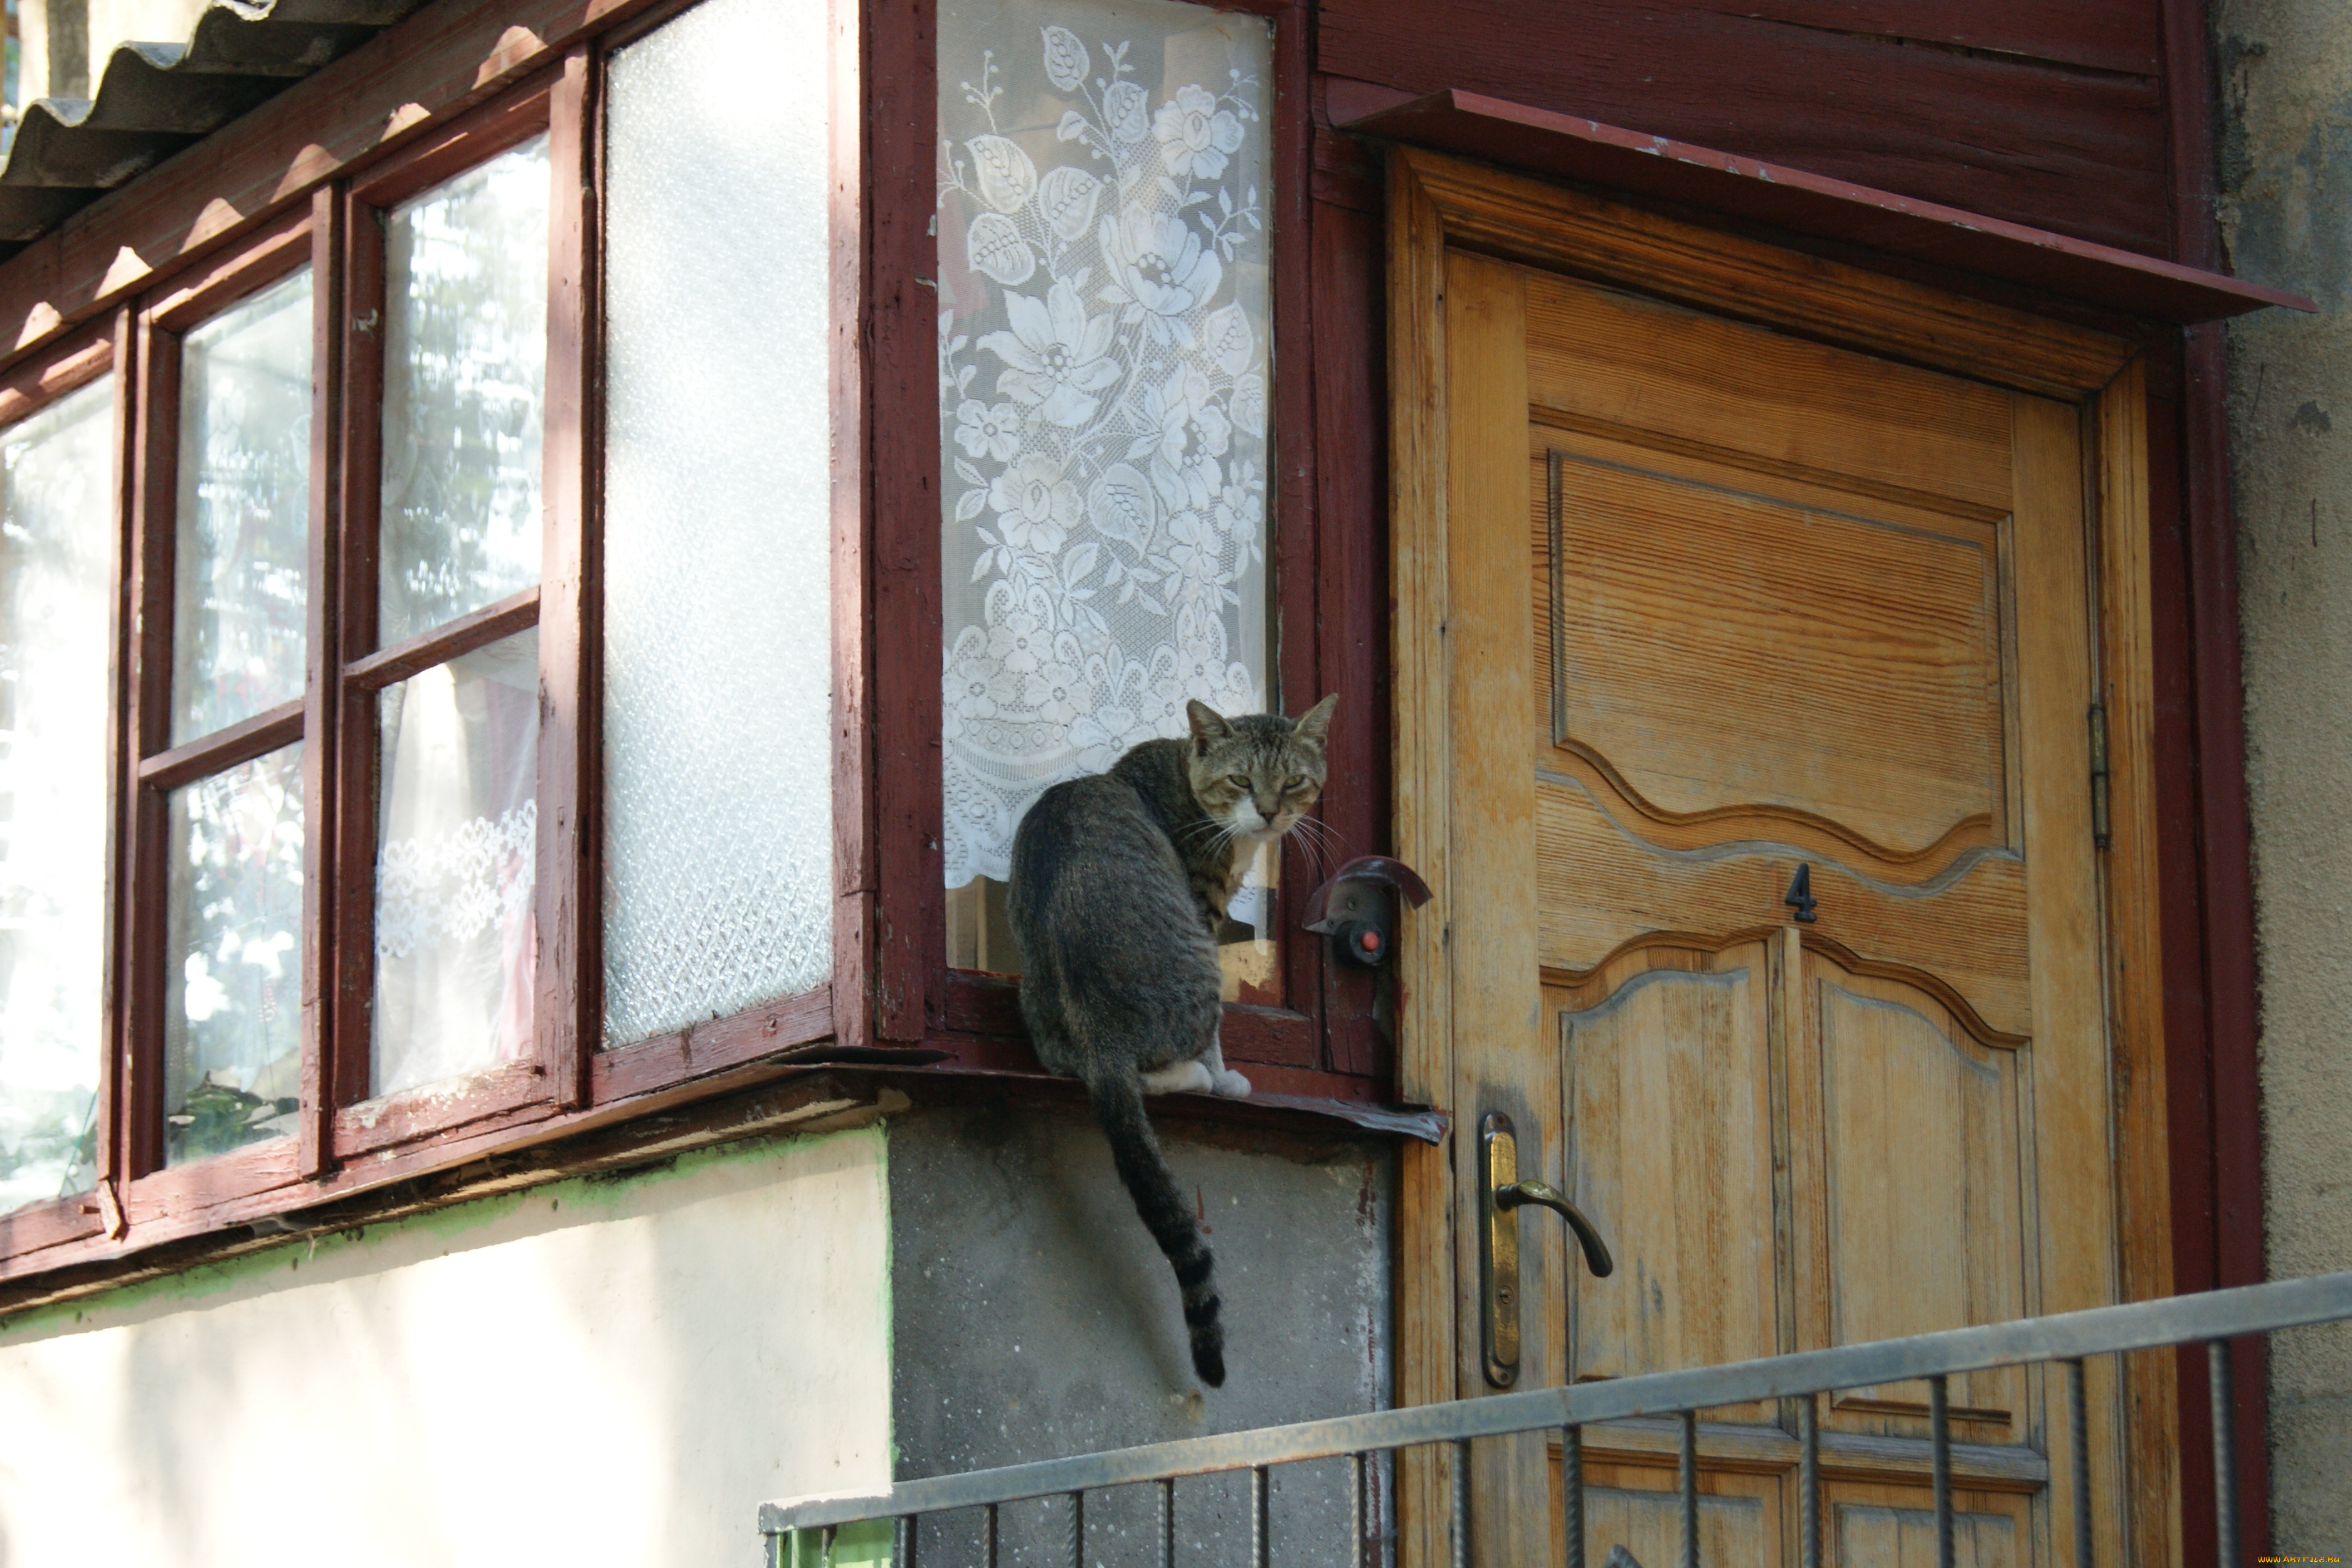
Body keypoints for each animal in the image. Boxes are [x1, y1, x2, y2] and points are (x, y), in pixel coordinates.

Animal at [1011, 700, 1345, 1382]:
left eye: (1292, 782)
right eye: (1242, 780)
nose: (1268, 813)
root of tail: (1099, 1037)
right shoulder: (1203, 909)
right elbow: (1218, 1038)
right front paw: (1225, 1076)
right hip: (1195, 966)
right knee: (1171, 1058)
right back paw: (1200, 1077)